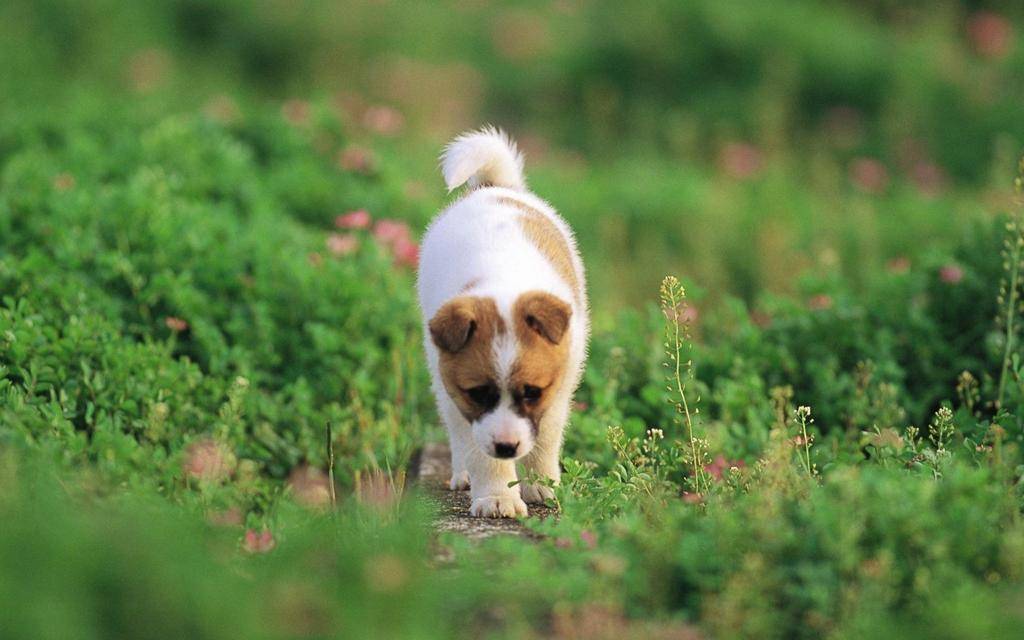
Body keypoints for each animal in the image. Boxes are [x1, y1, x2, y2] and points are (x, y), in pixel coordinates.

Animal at [417, 127, 593, 516]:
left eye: (531, 392)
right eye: (478, 393)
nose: (507, 447)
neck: (503, 283)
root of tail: (494, 187)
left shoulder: (558, 387)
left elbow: (545, 439)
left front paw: (541, 485)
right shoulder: (462, 400)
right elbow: (480, 451)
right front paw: (497, 496)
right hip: (440, 380)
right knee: (458, 434)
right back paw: (463, 474)